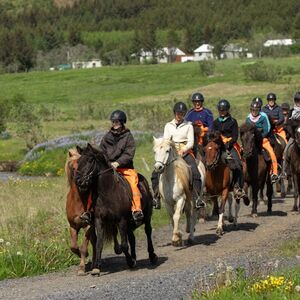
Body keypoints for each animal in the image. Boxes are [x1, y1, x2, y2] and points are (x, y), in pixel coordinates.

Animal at [74, 144, 157, 276]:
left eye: (90, 160)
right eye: (78, 161)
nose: (78, 180)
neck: (108, 192)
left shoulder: (121, 220)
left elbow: (123, 245)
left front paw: (130, 262)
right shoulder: (99, 220)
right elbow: (99, 244)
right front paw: (96, 268)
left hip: (147, 216)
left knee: (148, 232)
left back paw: (152, 256)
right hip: (129, 224)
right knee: (132, 238)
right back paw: (134, 257)